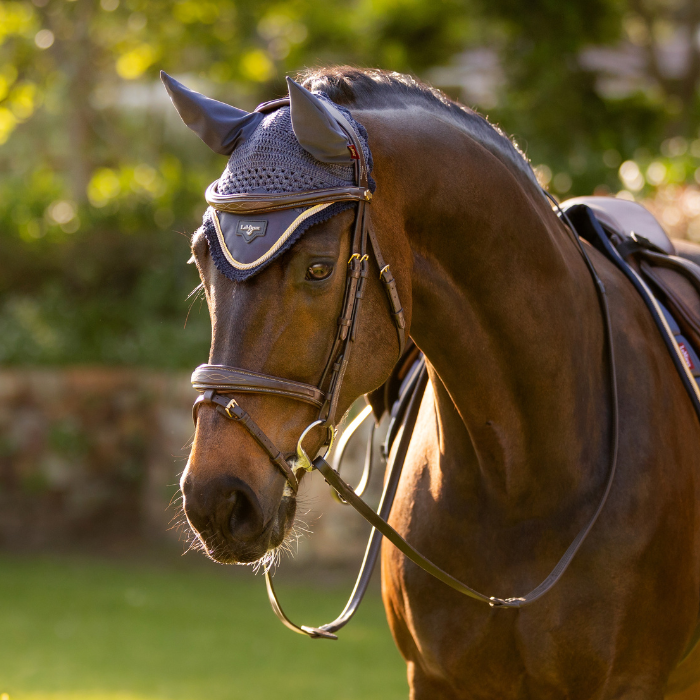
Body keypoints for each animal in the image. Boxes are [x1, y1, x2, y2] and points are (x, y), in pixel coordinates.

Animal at [172, 67, 700, 700]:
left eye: (318, 268)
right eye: (201, 259)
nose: (215, 499)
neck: (522, 479)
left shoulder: (631, 682)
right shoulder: (434, 678)